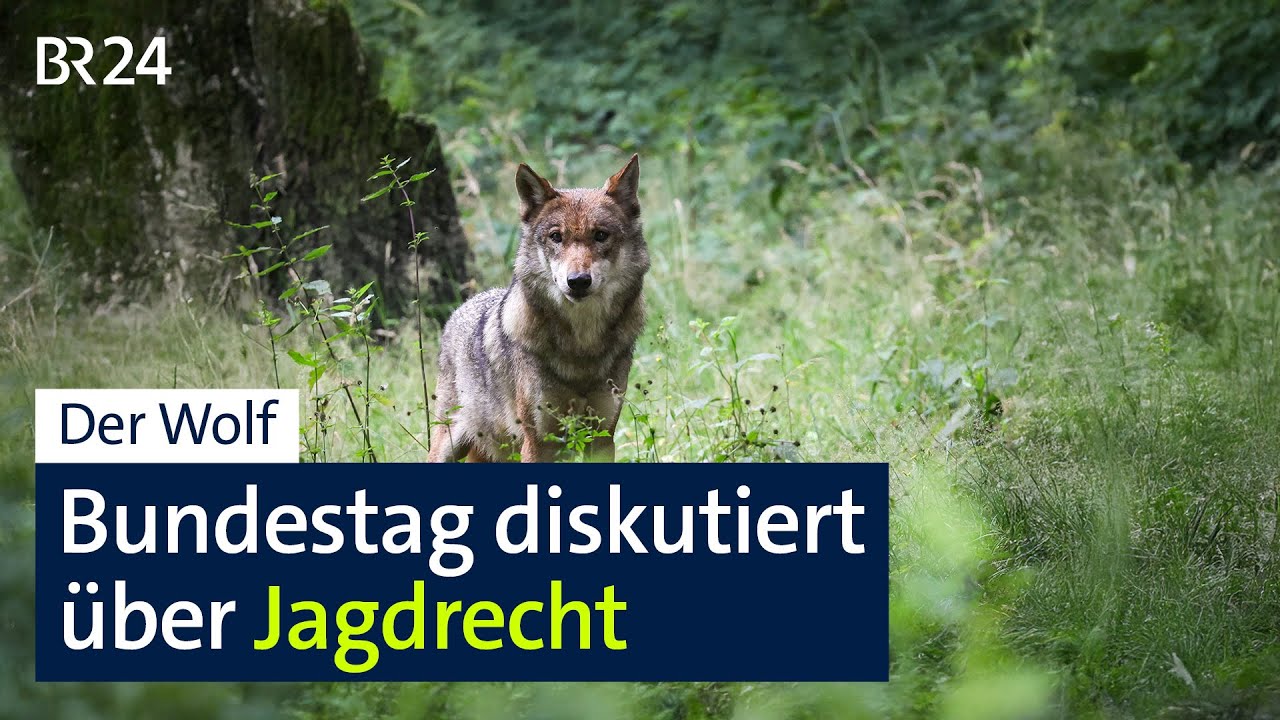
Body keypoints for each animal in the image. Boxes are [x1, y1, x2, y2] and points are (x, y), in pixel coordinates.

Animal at [427, 155, 649, 463]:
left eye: (601, 235)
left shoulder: (602, 437)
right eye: (556, 237)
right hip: (447, 446)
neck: (582, 347)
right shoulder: (539, 441)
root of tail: (462, 308)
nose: (578, 281)